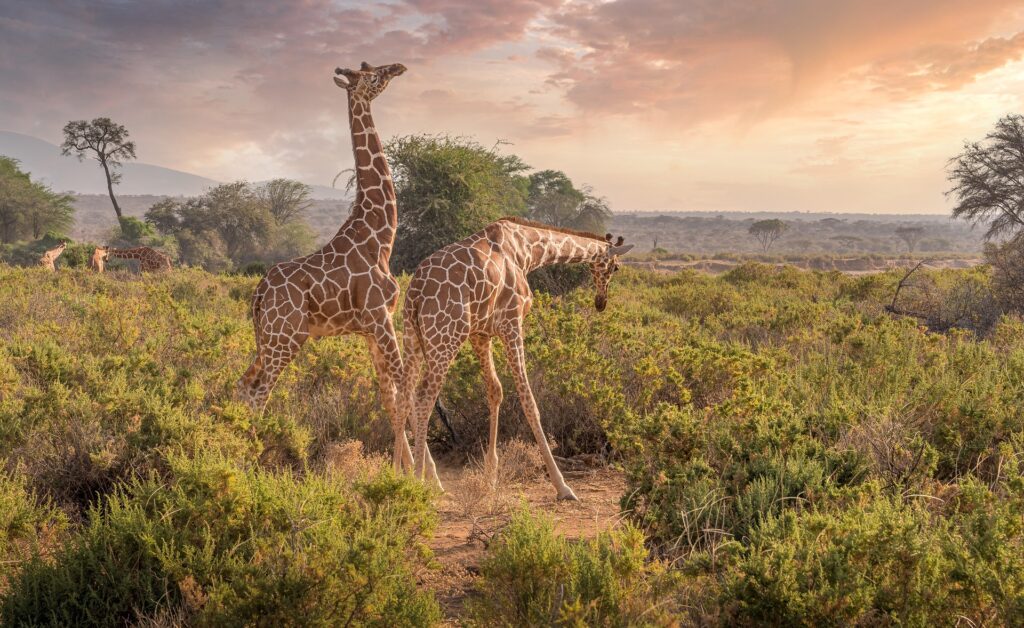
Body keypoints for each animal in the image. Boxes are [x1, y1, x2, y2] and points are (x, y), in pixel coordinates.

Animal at [237, 61, 438, 482]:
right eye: (373, 73)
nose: (398, 66)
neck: (380, 237)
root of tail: (258, 293)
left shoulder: (370, 329)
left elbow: (389, 395)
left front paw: (402, 471)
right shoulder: (380, 318)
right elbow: (405, 387)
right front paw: (428, 478)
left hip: (267, 339)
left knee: (244, 384)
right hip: (287, 339)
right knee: (260, 391)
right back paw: (248, 464)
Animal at [398, 217, 633, 500]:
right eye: (616, 267)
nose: (601, 302)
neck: (527, 250)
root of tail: (415, 292)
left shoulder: (480, 333)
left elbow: (495, 391)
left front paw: (490, 478)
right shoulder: (512, 322)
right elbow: (528, 399)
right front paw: (562, 486)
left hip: (412, 336)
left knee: (403, 395)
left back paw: (394, 474)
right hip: (445, 337)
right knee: (423, 397)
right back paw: (420, 482)